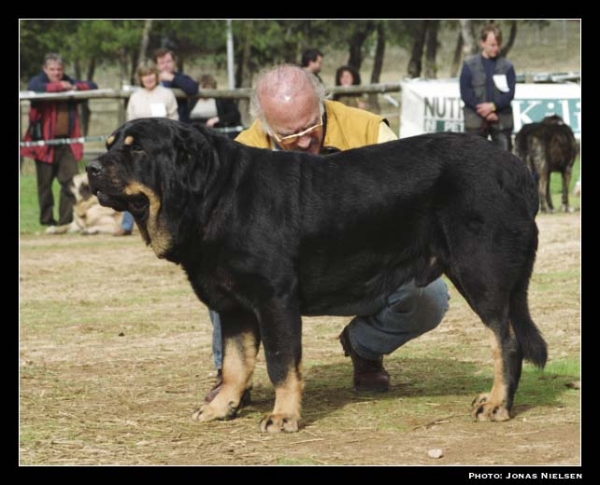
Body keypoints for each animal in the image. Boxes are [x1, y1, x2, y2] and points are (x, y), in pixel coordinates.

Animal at [85, 116, 548, 432]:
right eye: (109, 145)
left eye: (137, 150)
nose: (91, 168)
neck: (216, 196)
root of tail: (515, 169)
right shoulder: (233, 306)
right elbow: (235, 363)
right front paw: (222, 406)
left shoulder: (275, 300)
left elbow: (280, 362)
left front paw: (283, 416)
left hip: (481, 273)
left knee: (505, 342)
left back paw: (497, 404)